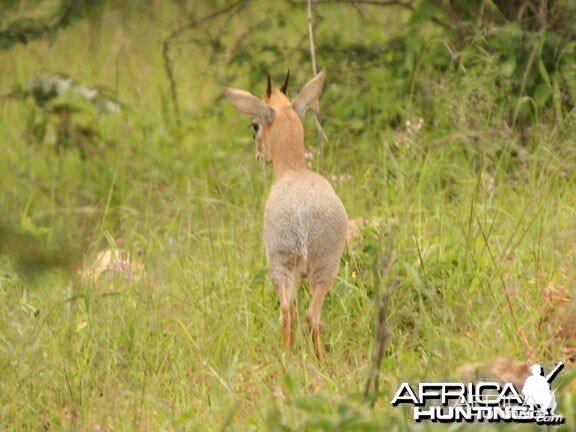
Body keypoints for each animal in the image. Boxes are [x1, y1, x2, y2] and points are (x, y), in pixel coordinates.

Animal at [224, 71, 346, 362]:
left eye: (254, 126)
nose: (259, 156)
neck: (294, 170)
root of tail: (300, 219)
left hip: (284, 268)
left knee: (287, 313)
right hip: (320, 269)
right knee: (309, 315)